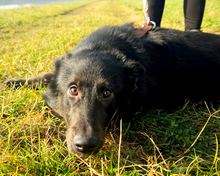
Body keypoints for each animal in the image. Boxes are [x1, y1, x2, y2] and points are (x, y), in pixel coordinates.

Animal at [5, 23, 220, 157]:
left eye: (107, 93)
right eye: (73, 90)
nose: (85, 146)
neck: (102, 47)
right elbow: (45, 76)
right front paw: (15, 82)